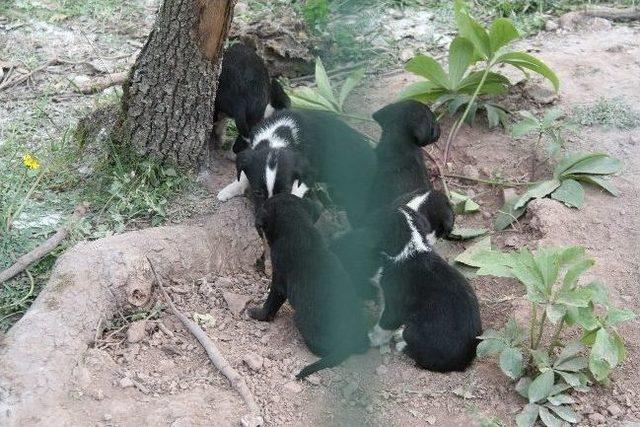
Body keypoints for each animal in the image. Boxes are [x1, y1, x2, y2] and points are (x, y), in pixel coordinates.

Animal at [248, 194, 368, 378]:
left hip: (302, 320)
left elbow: (270, 304)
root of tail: (349, 341)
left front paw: (257, 314)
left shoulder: (279, 280)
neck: (298, 228)